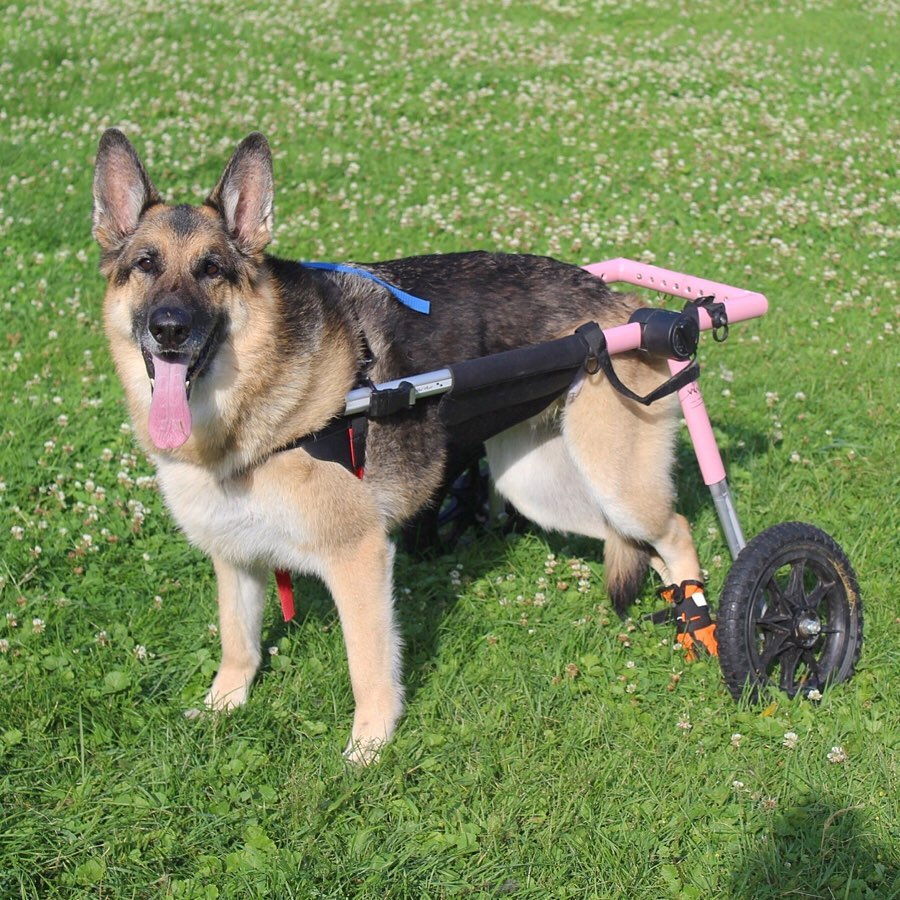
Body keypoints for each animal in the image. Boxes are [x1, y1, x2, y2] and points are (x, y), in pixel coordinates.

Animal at [93, 128, 704, 760]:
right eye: (145, 264)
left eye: (211, 268)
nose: (168, 329)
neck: (251, 406)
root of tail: (621, 304)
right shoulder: (235, 558)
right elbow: (238, 645)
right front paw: (223, 706)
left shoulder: (359, 556)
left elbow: (367, 665)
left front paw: (369, 746)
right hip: (540, 488)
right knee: (638, 542)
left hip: (615, 480)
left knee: (677, 529)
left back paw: (700, 627)